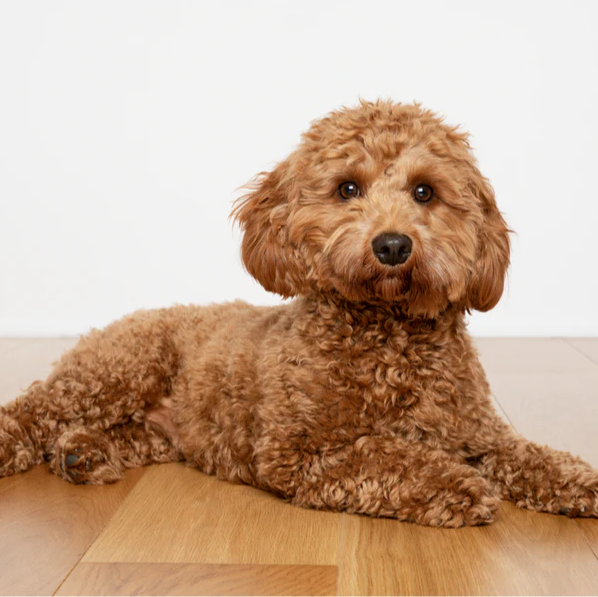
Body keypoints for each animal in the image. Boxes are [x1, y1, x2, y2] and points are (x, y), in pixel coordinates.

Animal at [1, 101, 598, 528]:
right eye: (348, 188)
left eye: (425, 192)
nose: (392, 245)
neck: (387, 341)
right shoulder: (298, 453)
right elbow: (386, 456)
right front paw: (459, 486)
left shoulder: (478, 433)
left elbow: (529, 454)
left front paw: (581, 480)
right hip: (116, 371)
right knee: (33, 410)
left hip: (161, 429)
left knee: (117, 433)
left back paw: (82, 453)